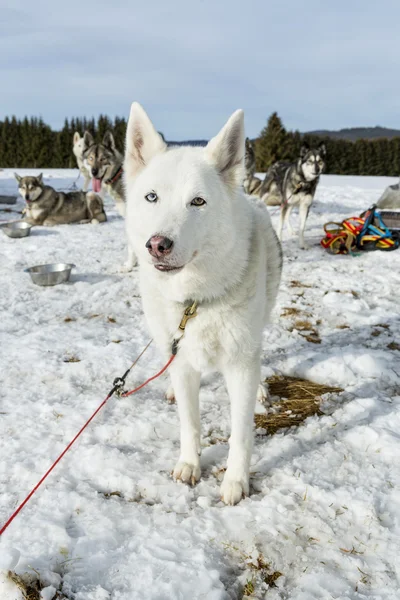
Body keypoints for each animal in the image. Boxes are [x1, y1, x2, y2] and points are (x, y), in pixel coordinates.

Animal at [123, 104, 282, 506]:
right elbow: (189, 421)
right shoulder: (181, 358)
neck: (196, 301)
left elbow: (241, 432)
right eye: (151, 197)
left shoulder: (240, 363)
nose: (157, 244)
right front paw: (189, 464)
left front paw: (235, 481)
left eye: (197, 201)